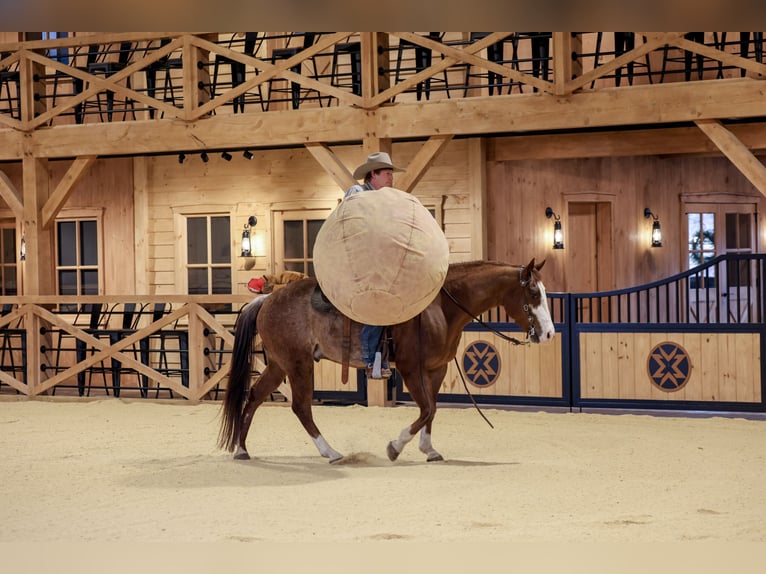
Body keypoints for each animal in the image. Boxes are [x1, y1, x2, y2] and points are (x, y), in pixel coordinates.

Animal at [218, 259, 555, 463]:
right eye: (533, 293)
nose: (550, 333)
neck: (441, 307)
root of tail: (267, 299)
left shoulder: (437, 369)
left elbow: (432, 409)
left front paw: (429, 449)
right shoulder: (410, 368)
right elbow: (426, 409)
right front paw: (396, 446)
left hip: (278, 364)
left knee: (254, 397)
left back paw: (243, 449)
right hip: (299, 364)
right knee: (301, 407)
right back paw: (331, 452)